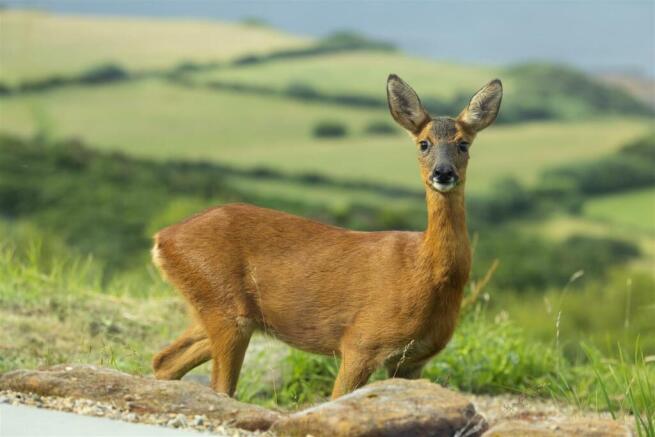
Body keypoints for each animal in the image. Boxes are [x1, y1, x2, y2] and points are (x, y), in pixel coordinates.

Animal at [151, 74, 503, 399]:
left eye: (463, 144)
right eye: (424, 143)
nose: (443, 172)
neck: (427, 273)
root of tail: (162, 239)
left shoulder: (412, 361)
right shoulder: (361, 342)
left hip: (223, 312)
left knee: (163, 360)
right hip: (224, 306)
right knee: (218, 386)